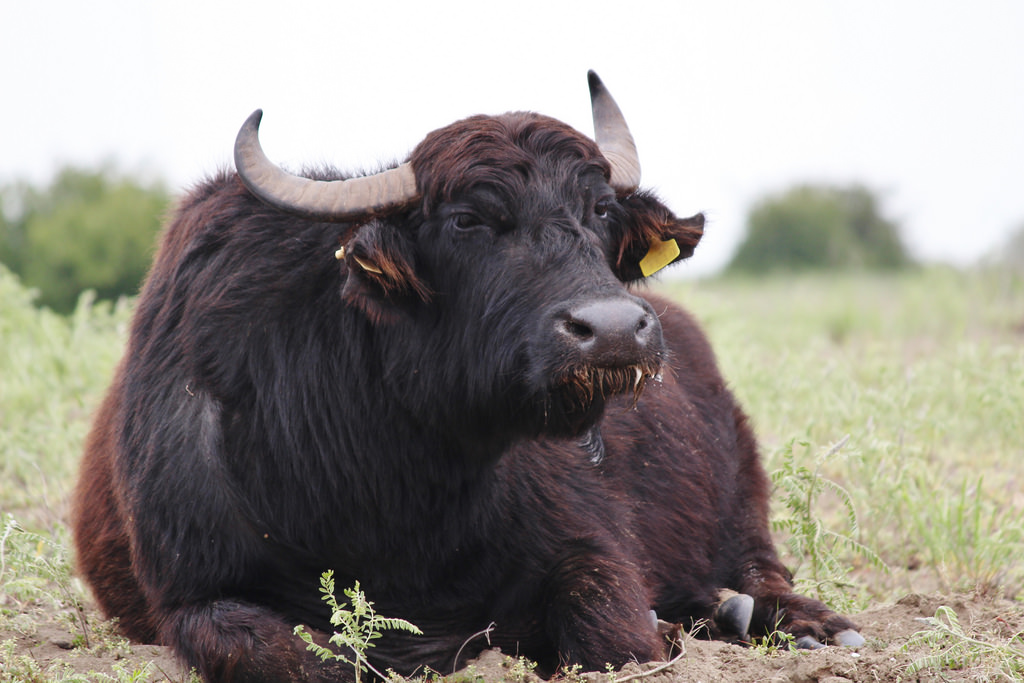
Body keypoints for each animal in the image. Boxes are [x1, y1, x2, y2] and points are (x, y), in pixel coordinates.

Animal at [72, 72, 860, 679]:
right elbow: (294, 654)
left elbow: (614, 630)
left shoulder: (590, 543)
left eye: (601, 210)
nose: (614, 330)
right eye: (468, 221)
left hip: (743, 501)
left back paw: (794, 621)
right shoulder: (192, 597)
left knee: (762, 572)